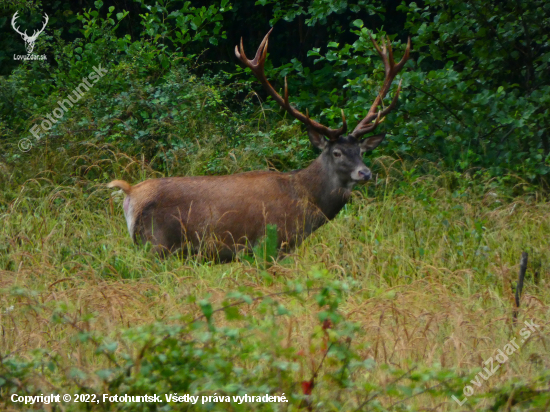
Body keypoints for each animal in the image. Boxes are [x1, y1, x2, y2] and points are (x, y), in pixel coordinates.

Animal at [108, 29, 412, 260]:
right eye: (337, 152)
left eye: (361, 151)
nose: (365, 172)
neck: (305, 203)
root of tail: (130, 193)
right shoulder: (270, 244)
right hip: (156, 245)